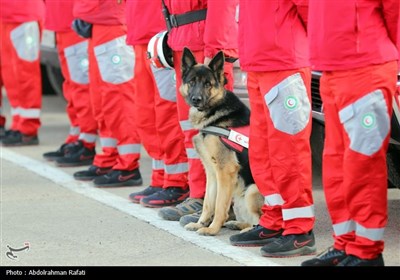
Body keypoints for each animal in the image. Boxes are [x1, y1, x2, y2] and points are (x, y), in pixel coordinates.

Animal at [180, 48, 264, 236]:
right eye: (192, 82)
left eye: (208, 84)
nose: (196, 99)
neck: (215, 112)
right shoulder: (212, 172)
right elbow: (208, 202)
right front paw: (200, 223)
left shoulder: (225, 171)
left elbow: (219, 205)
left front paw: (212, 229)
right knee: (249, 219)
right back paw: (237, 224)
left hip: (251, 191)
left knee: (261, 221)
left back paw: (248, 232)